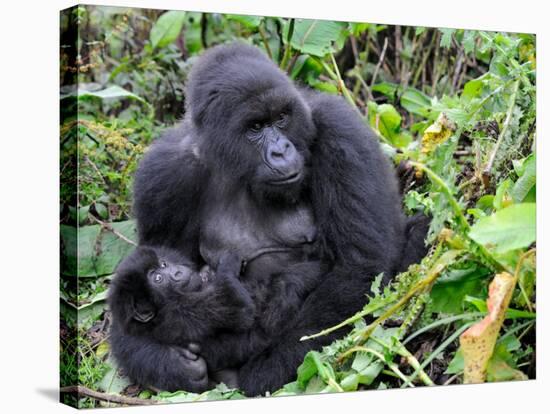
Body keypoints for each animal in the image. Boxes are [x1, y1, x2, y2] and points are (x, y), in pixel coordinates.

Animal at [108, 246, 256, 392]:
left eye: (163, 264)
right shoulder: (180, 311)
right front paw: (227, 262)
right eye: (158, 278)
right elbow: (234, 303)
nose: (177, 272)